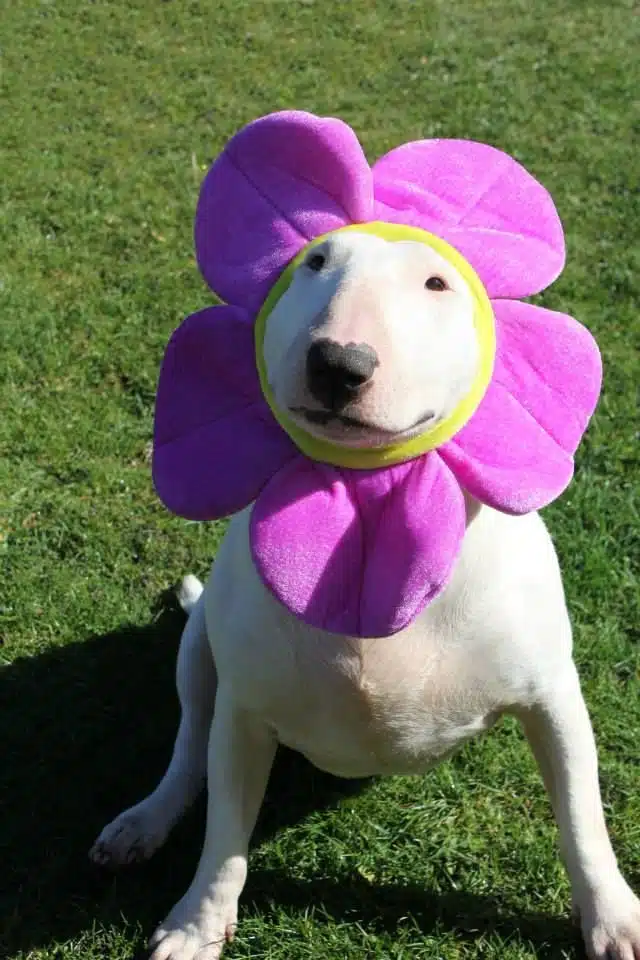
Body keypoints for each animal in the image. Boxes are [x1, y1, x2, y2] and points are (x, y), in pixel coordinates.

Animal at [90, 232, 640, 960]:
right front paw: (196, 925)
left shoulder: (552, 697)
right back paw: (144, 822)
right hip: (198, 645)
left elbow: (581, 815)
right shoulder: (244, 710)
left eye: (437, 282)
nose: (338, 363)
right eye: (314, 262)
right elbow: (225, 831)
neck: (370, 501)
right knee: (189, 748)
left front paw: (612, 917)